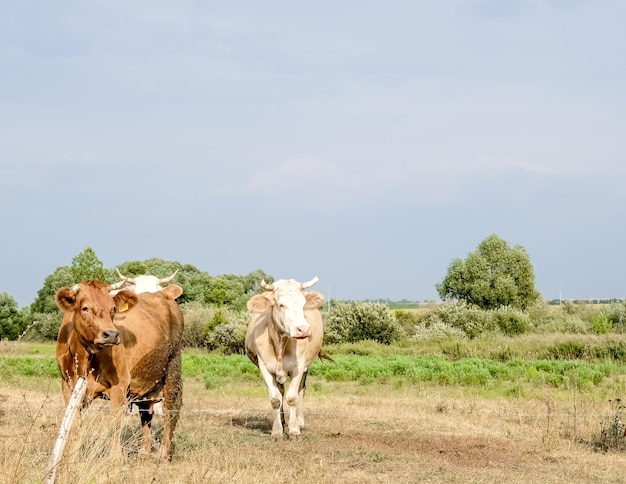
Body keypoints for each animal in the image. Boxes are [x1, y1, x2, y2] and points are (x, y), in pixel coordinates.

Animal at [54, 278, 183, 460]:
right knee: (146, 412)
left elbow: (115, 424)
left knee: (170, 410)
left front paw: (115, 459)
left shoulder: (119, 386)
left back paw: (164, 454)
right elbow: (73, 424)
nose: (111, 334)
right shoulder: (68, 386)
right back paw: (144, 451)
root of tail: (161, 294)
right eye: (85, 308)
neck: (86, 357)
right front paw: (70, 457)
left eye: (112, 308)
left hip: (173, 367)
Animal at [245, 274, 332, 440]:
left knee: (301, 390)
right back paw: (283, 421)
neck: (280, 344)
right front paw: (277, 431)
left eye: (303, 305)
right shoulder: (264, 366)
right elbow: (275, 399)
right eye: (281, 305)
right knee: (281, 391)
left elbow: (292, 398)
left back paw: (299, 422)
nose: (303, 329)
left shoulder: (298, 367)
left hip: (305, 368)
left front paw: (294, 430)